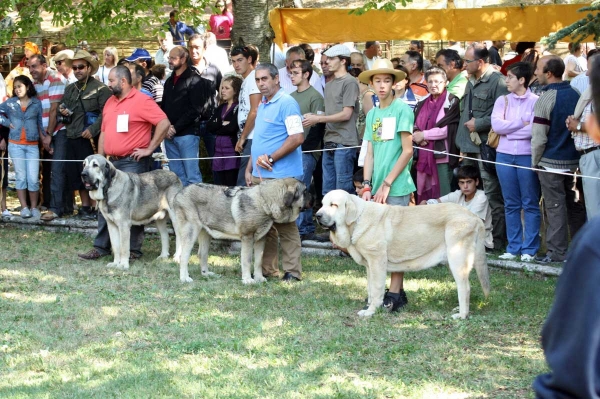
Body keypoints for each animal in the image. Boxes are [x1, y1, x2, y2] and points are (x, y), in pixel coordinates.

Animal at [316, 191, 490, 322]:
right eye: (322, 204)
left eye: (333, 205)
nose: (317, 215)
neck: (356, 220)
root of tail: (474, 216)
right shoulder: (369, 266)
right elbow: (370, 289)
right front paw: (370, 306)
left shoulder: (377, 262)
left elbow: (377, 289)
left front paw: (370, 311)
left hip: (457, 257)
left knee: (465, 287)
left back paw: (461, 315)